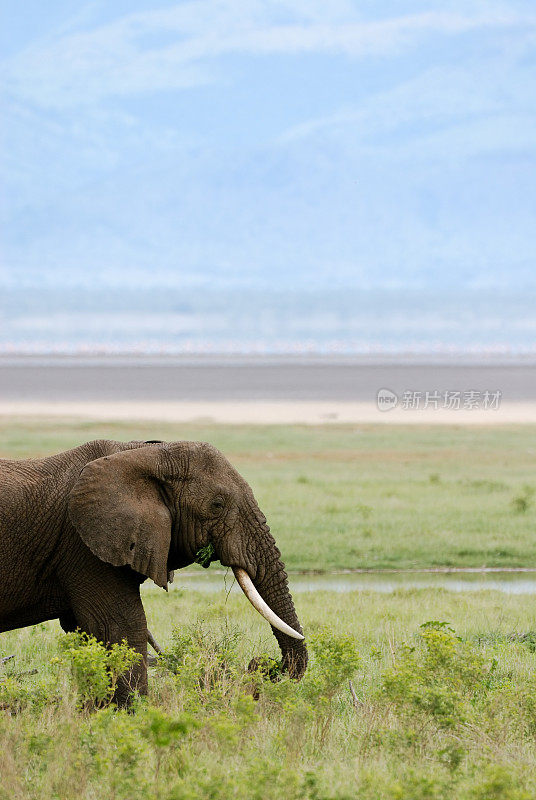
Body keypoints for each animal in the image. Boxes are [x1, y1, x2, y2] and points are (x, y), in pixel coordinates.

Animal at [0, 438, 308, 708]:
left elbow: (87, 632)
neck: (147, 454)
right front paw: (130, 714)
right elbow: (121, 627)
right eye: (217, 505)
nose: (262, 665)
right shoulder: (85, 545)